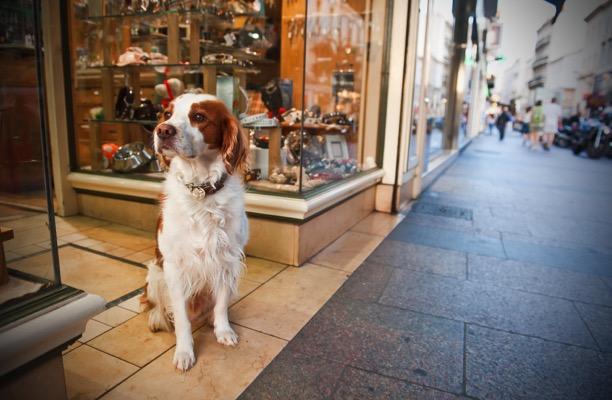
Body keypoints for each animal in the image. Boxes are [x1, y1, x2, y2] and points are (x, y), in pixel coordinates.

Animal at [142, 94, 247, 372]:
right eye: (167, 114)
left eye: (199, 116)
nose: (163, 130)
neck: (201, 190)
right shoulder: (174, 267)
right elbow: (180, 317)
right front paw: (184, 352)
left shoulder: (227, 261)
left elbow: (221, 304)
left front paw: (223, 331)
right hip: (155, 273)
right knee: (155, 304)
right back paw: (156, 319)